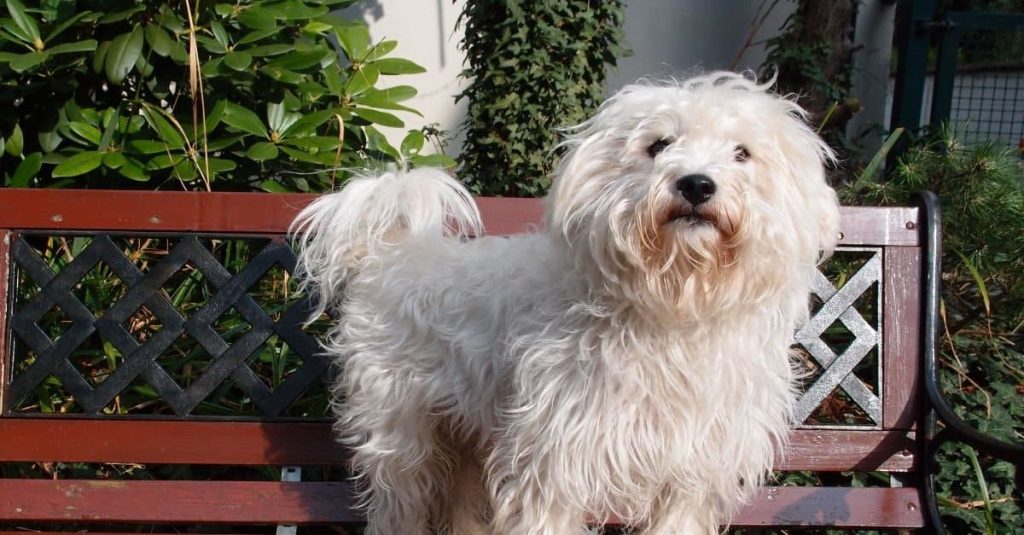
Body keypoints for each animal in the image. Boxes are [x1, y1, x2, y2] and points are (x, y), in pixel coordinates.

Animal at [290, 71, 839, 532]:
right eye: (658, 145)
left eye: (742, 152)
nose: (697, 183)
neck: (674, 310)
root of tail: (391, 250)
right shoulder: (553, 461)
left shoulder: (693, 473)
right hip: (402, 440)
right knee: (397, 505)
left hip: (468, 435)